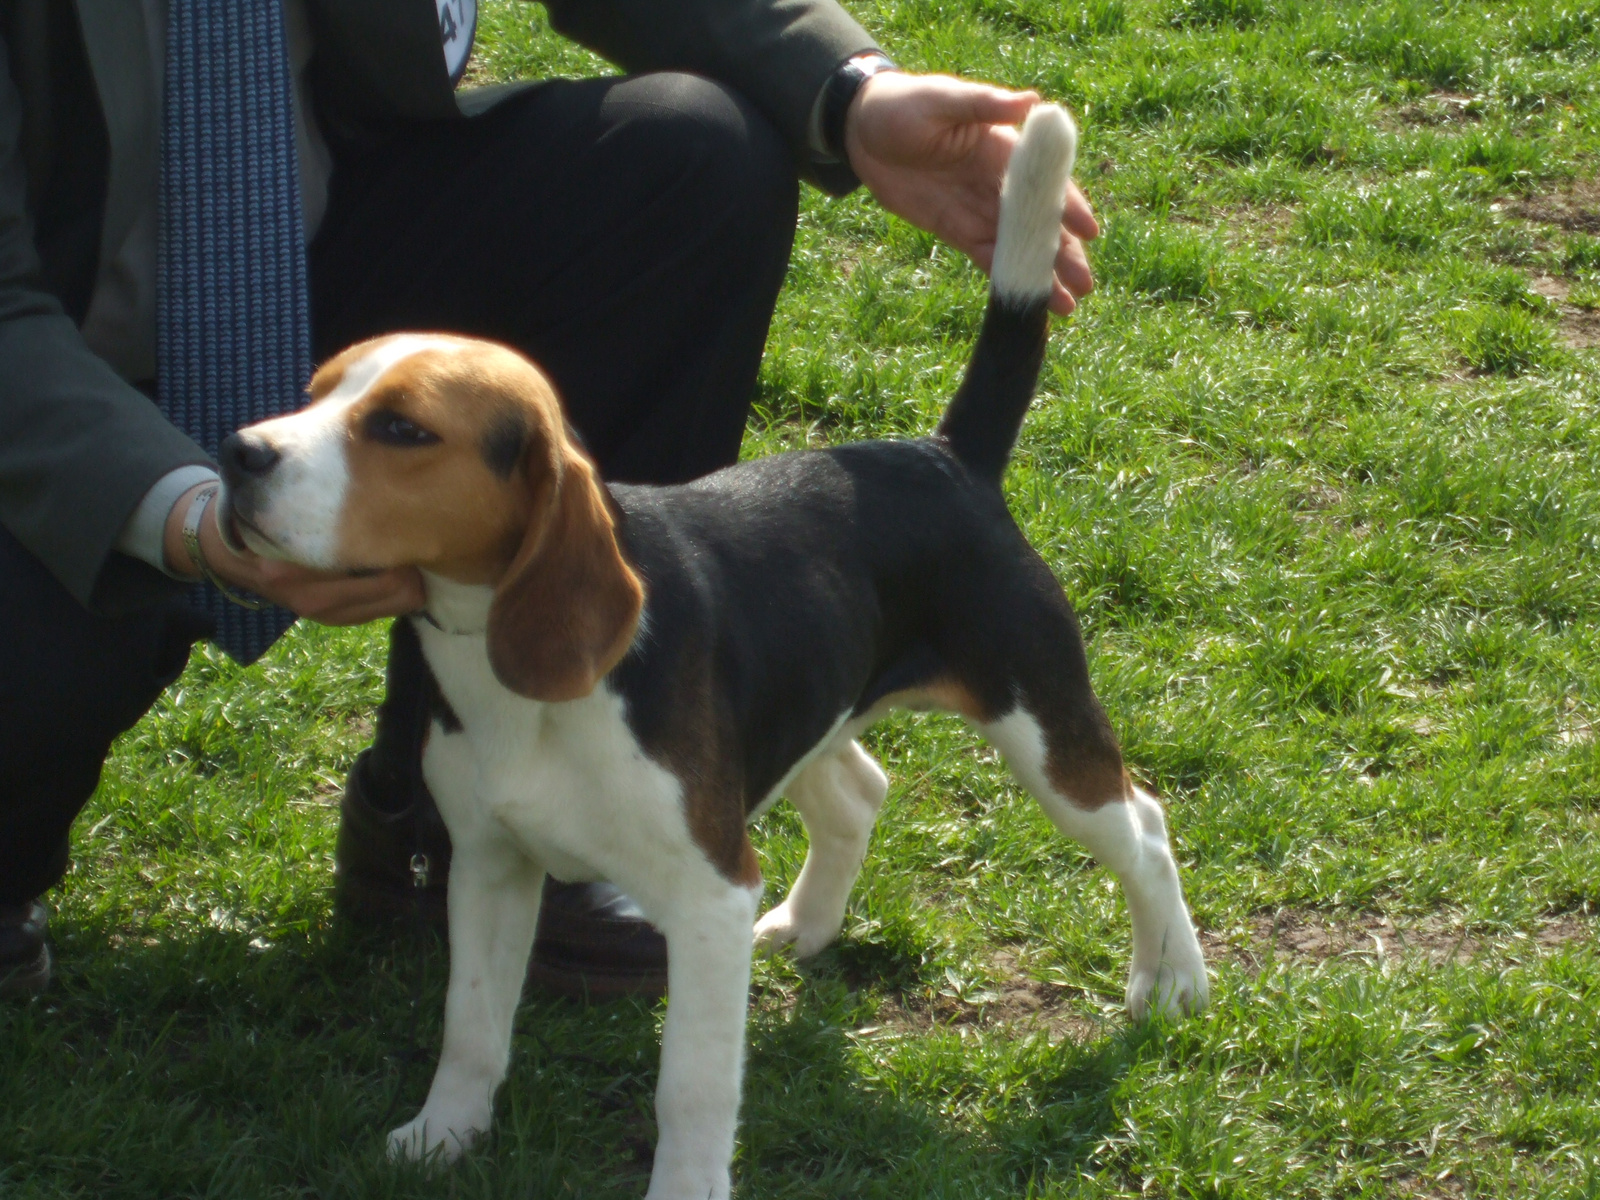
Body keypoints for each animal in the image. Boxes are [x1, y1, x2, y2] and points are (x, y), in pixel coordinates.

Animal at [219, 108, 1203, 1196]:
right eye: (313, 391)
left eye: (401, 427)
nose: (238, 452)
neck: (515, 685)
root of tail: (943, 456)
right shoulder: (487, 864)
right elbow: (469, 1027)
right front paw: (442, 1136)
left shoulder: (707, 900)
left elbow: (688, 1091)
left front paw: (684, 1184)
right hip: (807, 714)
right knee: (861, 792)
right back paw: (810, 925)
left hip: (1039, 726)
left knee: (1145, 825)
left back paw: (1172, 981)